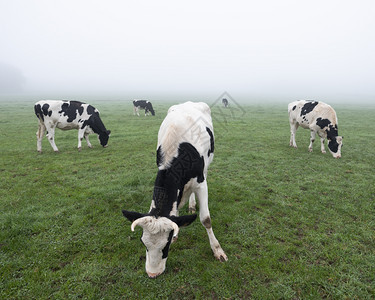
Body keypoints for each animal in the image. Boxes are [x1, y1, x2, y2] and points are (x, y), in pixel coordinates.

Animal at [123, 101, 229, 278]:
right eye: (143, 243)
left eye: (165, 246)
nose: (153, 273)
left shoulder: (201, 183)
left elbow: (206, 219)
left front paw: (217, 250)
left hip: (208, 163)